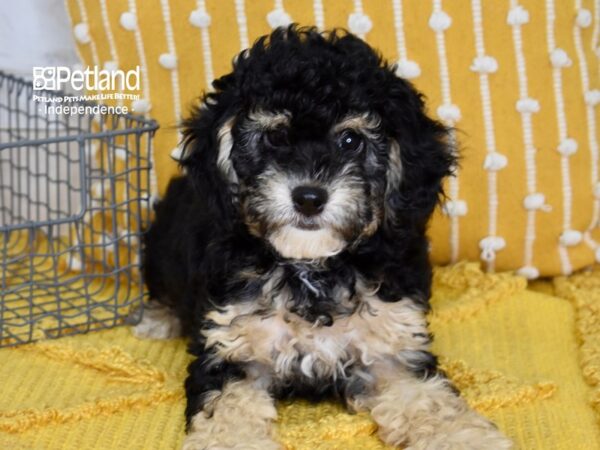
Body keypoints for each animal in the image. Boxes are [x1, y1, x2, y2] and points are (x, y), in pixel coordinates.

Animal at [137, 26, 510, 450]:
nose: (309, 197)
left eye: (350, 140)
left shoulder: (394, 349)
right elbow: (229, 412)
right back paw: (158, 319)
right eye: (275, 137)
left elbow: (431, 402)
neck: (312, 269)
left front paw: (462, 436)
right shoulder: (230, 347)